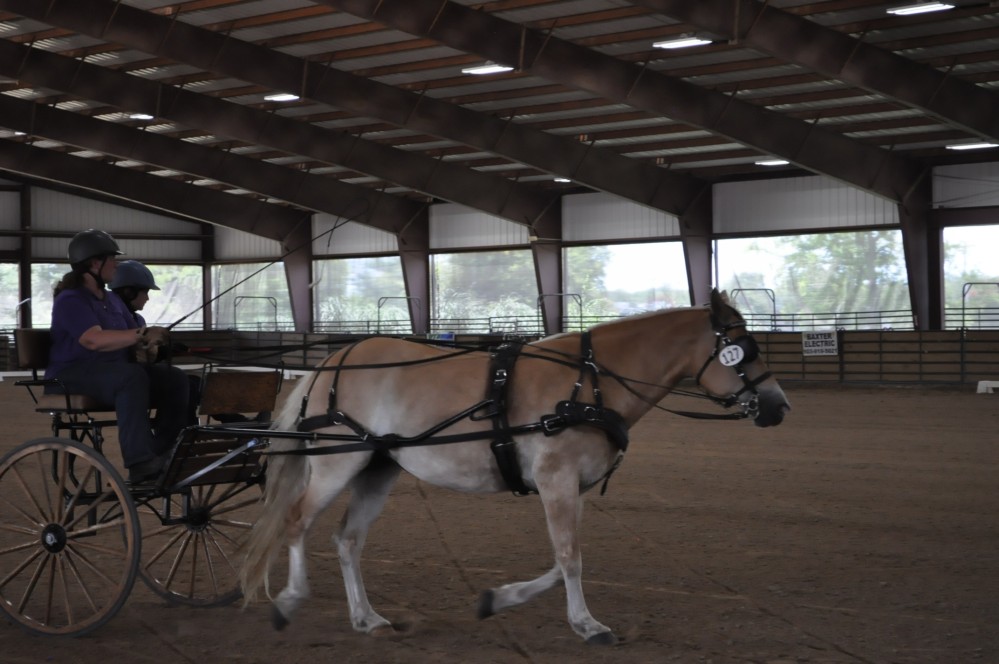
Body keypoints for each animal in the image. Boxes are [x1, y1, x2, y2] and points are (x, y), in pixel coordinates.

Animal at [240, 290, 788, 644]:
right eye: (743, 349)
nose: (778, 406)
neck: (590, 385)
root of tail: (330, 362)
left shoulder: (571, 486)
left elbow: (563, 559)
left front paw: (498, 600)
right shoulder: (556, 479)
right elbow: (570, 557)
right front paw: (587, 625)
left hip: (378, 466)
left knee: (348, 540)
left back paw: (367, 618)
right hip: (339, 461)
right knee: (297, 521)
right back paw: (289, 600)